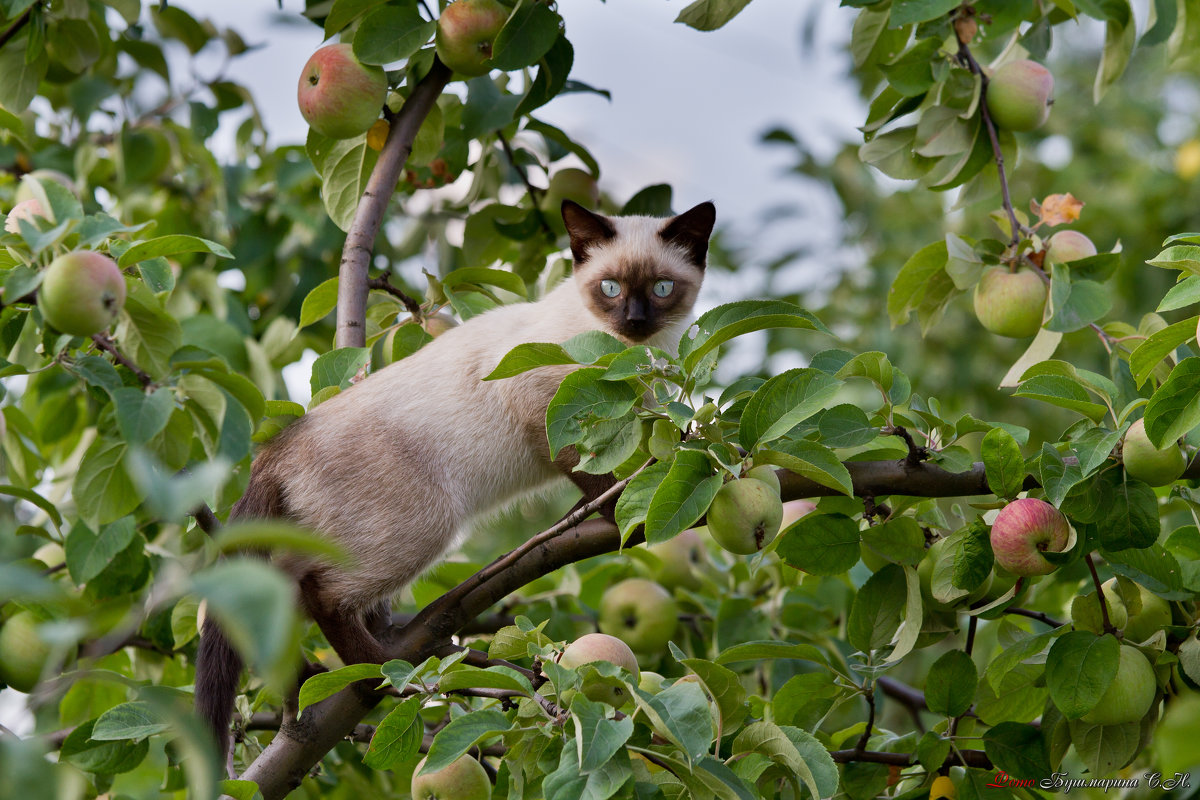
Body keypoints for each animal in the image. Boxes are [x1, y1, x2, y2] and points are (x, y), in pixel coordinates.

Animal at [196, 200, 715, 758]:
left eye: (662, 288)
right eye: (611, 288)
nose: (635, 320)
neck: (635, 353)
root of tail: (277, 447)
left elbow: (629, 470)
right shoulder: (542, 405)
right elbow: (589, 474)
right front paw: (615, 515)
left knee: (269, 599)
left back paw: (309, 677)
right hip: (426, 524)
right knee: (323, 595)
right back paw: (375, 675)